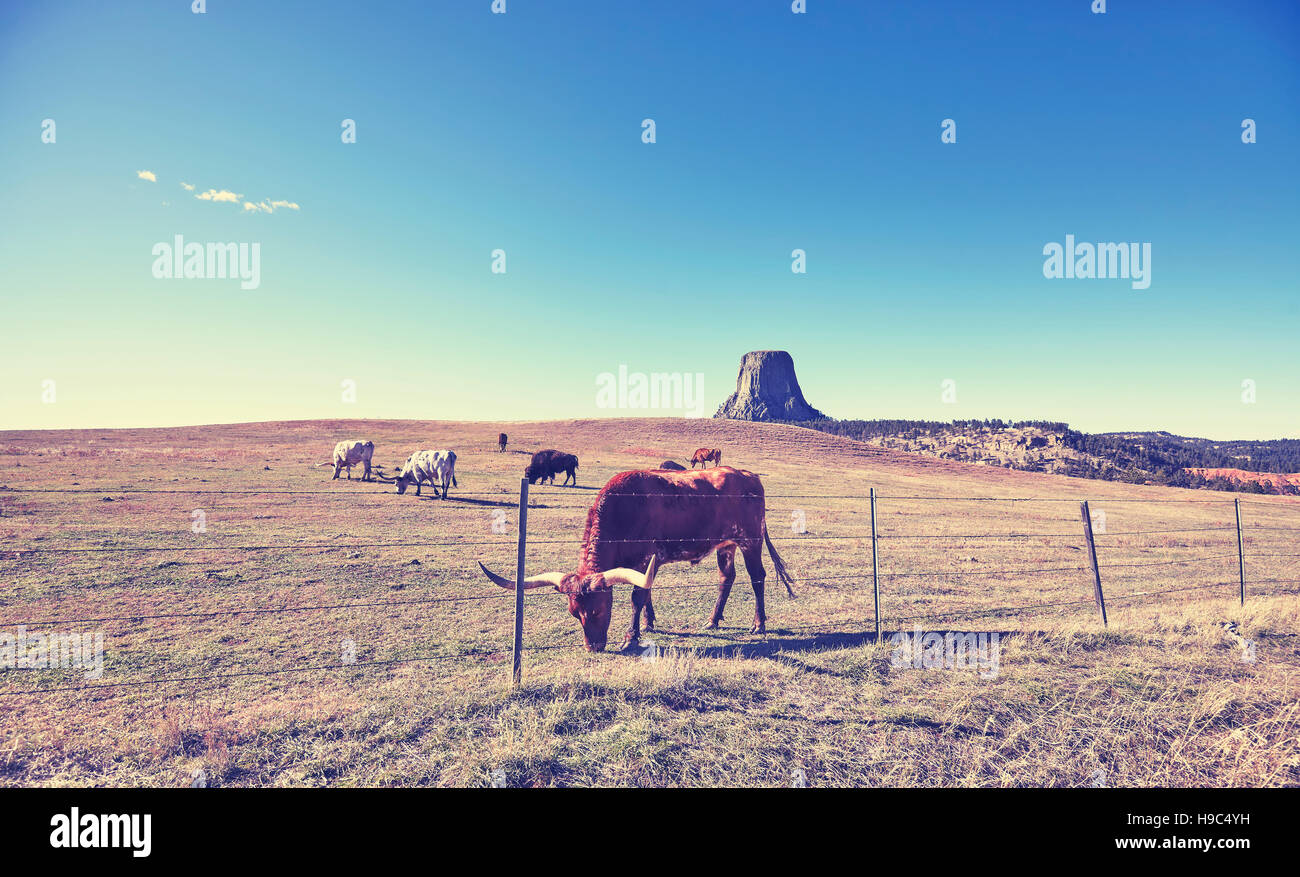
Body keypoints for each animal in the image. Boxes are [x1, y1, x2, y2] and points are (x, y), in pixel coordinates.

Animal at [480, 467, 790, 652]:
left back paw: (759, 624)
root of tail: (749, 475)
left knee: (757, 577)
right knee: (726, 578)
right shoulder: (643, 564)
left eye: (598, 610)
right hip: (726, 545)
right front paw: (648, 623)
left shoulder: (644, 559)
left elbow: (637, 597)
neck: (624, 507)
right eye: (574, 613)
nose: (593, 647)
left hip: (750, 540)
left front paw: (631, 638)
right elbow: (646, 593)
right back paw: (712, 621)